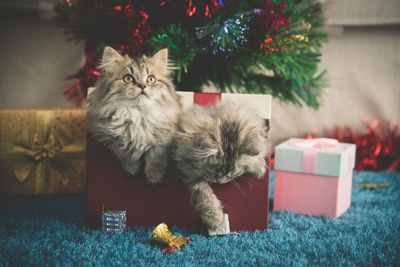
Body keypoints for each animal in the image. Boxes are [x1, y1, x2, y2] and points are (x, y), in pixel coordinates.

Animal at [88, 46, 182, 184]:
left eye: (151, 79)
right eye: (128, 78)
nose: (142, 86)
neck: (138, 114)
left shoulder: (164, 139)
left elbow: (156, 157)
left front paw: (154, 176)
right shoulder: (109, 137)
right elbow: (126, 153)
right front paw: (132, 169)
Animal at [172, 100, 268, 230]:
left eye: (232, 173)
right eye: (212, 172)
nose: (220, 182)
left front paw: (259, 167)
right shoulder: (186, 169)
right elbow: (204, 194)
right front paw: (215, 219)